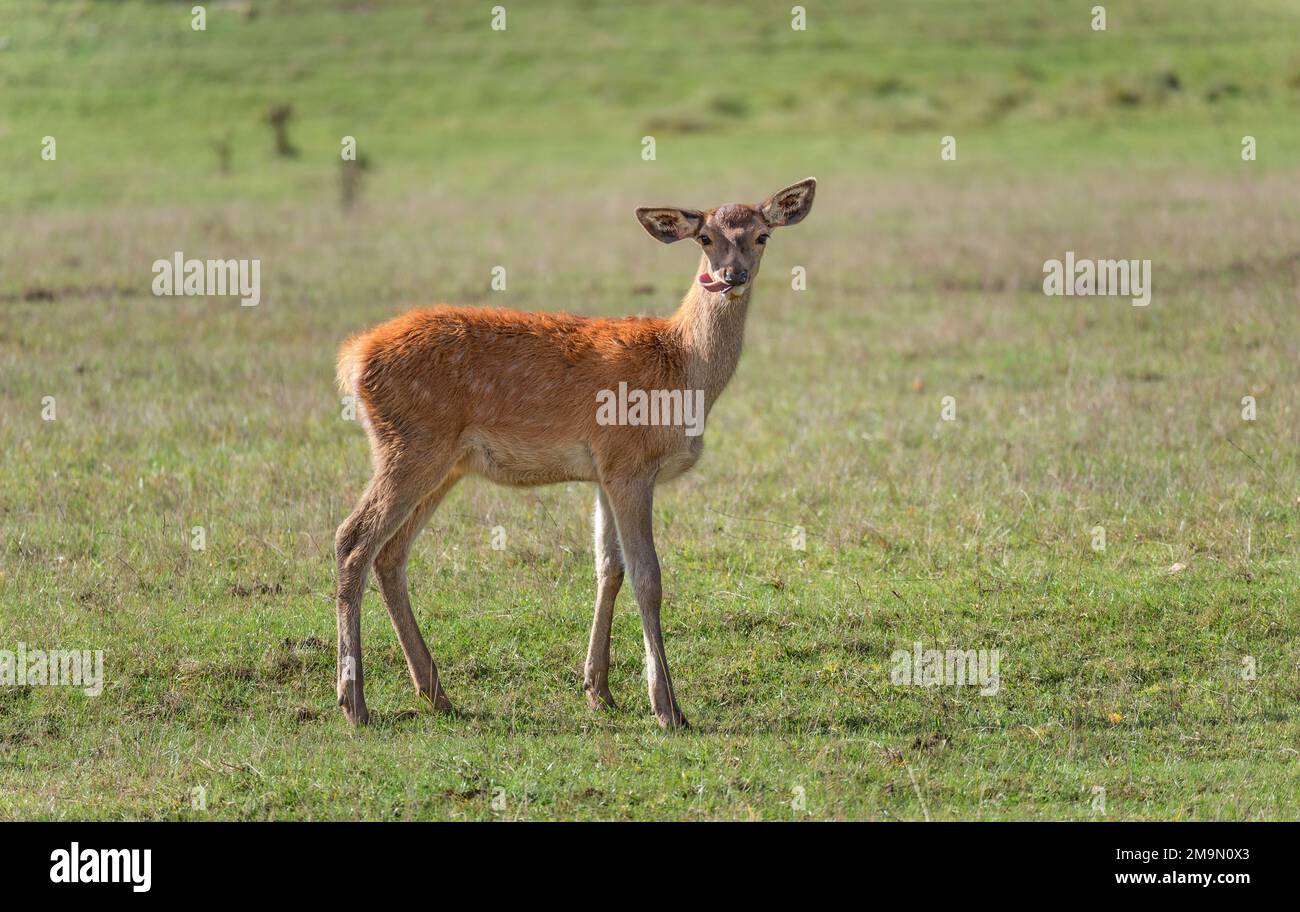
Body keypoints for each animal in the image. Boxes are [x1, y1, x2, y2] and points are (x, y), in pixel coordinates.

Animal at [338, 180, 821, 727]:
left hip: (444, 463)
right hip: (410, 446)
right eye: (704, 238)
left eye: (762, 235)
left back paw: (435, 692)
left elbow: (608, 568)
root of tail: (352, 358)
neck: (682, 370)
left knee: (390, 552)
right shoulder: (629, 463)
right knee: (352, 540)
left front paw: (598, 690)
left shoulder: (604, 472)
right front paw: (668, 708)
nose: (731, 276)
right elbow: (648, 576)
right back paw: (355, 703)